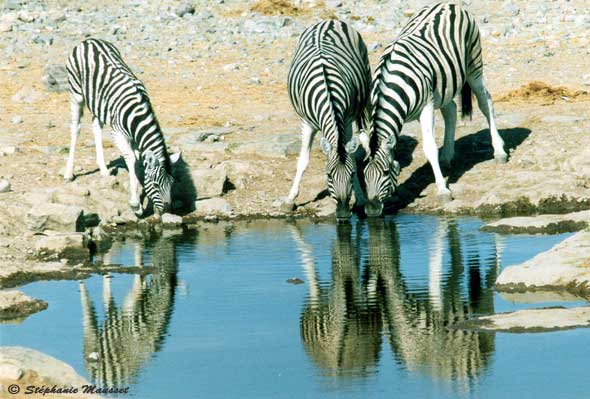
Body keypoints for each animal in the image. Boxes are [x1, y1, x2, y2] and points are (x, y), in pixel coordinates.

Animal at [64, 38, 180, 216]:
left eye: (172, 183)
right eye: (155, 185)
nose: (168, 211)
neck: (136, 116)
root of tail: (89, 40)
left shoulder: (135, 137)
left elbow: (138, 161)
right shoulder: (118, 133)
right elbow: (131, 158)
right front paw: (135, 204)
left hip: (99, 104)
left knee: (96, 126)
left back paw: (104, 169)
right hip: (76, 93)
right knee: (75, 128)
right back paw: (68, 173)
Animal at [284, 19, 372, 222]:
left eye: (351, 175)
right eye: (328, 176)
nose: (344, 215)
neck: (328, 92)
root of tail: (329, 21)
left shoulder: (345, 121)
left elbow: (352, 156)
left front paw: (360, 198)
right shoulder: (306, 123)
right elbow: (303, 160)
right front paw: (290, 198)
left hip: (366, 83)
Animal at [360, 2, 508, 219]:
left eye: (385, 172)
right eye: (363, 175)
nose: (371, 211)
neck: (390, 84)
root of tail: (449, 4)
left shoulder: (427, 106)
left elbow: (429, 148)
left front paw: (443, 190)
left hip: (473, 65)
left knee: (485, 102)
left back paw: (499, 150)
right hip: (446, 84)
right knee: (451, 110)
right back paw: (446, 157)